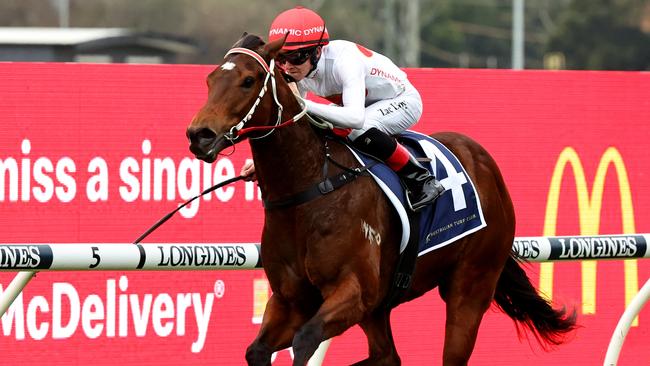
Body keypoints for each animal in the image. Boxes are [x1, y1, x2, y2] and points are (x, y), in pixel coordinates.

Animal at [184, 33, 572, 364]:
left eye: (248, 80)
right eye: (209, 80)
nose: (199, 135)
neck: (309, 190)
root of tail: (482, 159)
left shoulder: (354, 290)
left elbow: (306, 340)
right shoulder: (292, 300)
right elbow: (258, 350)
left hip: (471, 285)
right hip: (381, 306)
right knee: (387, 356)